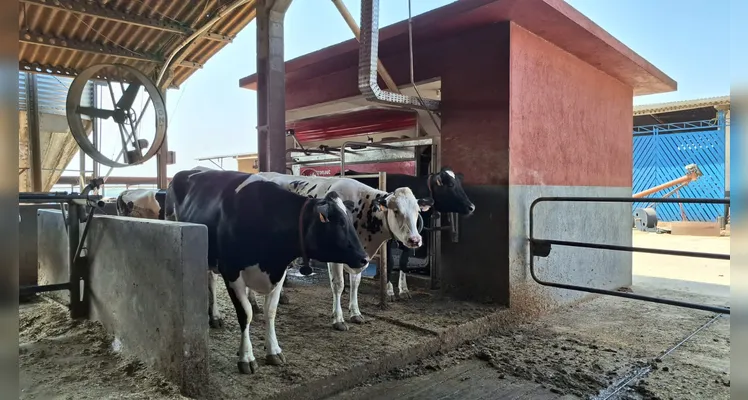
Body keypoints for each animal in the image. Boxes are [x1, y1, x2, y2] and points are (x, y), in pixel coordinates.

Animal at [168, 170, 370, 376]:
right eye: (339, 223)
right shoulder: (231, 272)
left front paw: (273, 350)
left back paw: (217, 316)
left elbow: (271, 311)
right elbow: (245, 314)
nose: (364, 258)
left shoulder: (278, 273)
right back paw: (216, 316)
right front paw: (246, 357)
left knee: (211, 280)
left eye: (350, 222)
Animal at [256, 172, 432, 332]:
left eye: (417, 211)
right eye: (396, 210)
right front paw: (338, 319)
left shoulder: (361, 256)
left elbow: (355, 283)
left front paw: (355, 313)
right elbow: (339, 285)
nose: (415, 240)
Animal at [336, 167, 476, 302]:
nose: (471, 207)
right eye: (451, 185)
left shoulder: (412, 236)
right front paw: (389, 291)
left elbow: (404, 262)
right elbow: (390, 263)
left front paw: (404, 290)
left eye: (460, 185)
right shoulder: (387, 240)